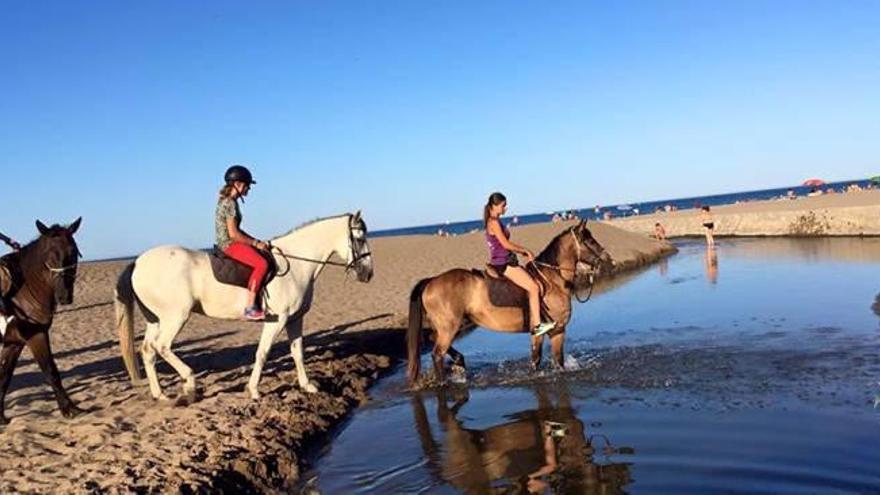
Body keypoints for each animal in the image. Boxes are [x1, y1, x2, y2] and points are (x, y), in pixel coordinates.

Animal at [0, 219, 83, 424]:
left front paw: (1, 417)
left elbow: (4, 377)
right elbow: (50, 370)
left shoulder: (14, 343)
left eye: (73, 253)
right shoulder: (35, 336)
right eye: (49, 256)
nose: (64, 297)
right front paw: (69, 409)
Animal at [112, 213, 372, 404]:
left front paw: (307, 385)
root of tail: (138, 262)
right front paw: (254, 390)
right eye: (359, 239)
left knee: (148, 350)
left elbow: (297, 351)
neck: (296, 264)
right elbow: (262, 353)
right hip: (176, 316)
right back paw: (190, 384)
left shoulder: (295, 319)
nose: (368, 274)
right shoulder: (277, 320)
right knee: (162, 347)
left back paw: (160, 394)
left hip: (156, 319)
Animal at [406, 221, 612, 388]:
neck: (553, 279)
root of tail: (432, 281)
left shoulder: (549, 332)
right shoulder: (554, 330)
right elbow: (542, 360)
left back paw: (459, 362)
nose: (608, 259)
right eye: (589, 241)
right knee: (436, 353)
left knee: (433, 339)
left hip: (451, 326)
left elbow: (550, 361)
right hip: (450, 327)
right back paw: (443, 383)